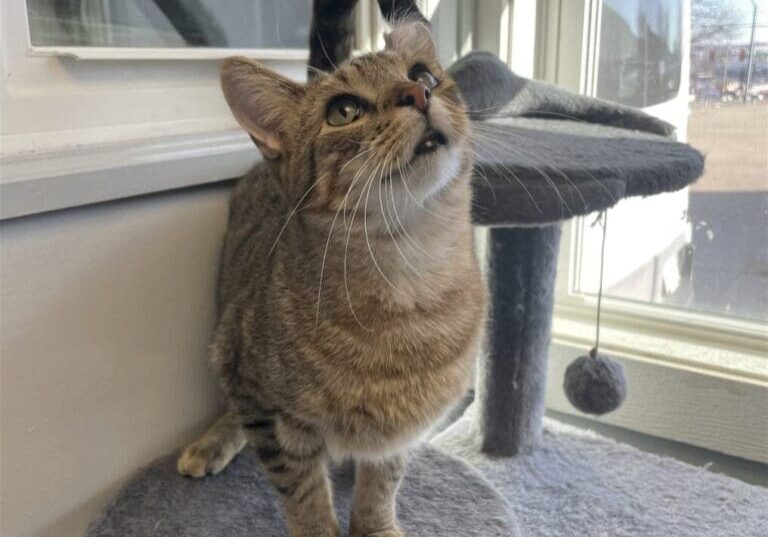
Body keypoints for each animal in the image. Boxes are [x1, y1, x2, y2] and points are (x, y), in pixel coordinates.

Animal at [177, 21, 484, 536]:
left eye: (423, 74)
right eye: (344, 111)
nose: (417, 93)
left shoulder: (401, 435)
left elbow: (382, 484)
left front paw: (376, 525)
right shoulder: (271, 414)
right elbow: (303, 495)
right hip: (227, 340)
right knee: (234, 402)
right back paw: (215, 440)